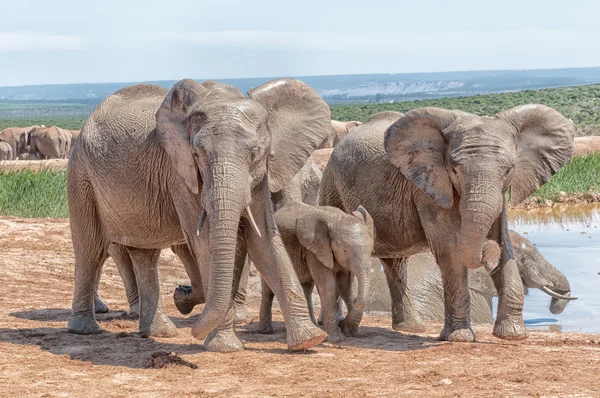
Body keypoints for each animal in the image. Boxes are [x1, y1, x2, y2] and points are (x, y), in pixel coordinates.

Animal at [68, 77, 330, 352]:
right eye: (197, 154)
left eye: (255, 153)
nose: (193, 332)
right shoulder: (180, 174)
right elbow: (204, 242)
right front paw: (223, 346)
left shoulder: (261, 177)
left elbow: (264, 241)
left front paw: (309, 340)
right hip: (81, 176)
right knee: (90, 249)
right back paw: (85, 329)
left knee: (144, 253)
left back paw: (160, 332)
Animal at [258, 204, 376, 344]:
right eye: (345, 251)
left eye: (371, 251)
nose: (355, 299)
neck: (337, 217)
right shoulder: (315, 250)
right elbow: (328, 286)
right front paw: (336, 339)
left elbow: (344, 286)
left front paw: (349, 332)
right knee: (268, 290)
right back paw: (266, 331)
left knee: (307, 288)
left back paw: (315, 328)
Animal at [322, 109, 576, 342]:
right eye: (454, 169)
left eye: (509, 170)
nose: (487, 251)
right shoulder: (428, 185)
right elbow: (450, 249)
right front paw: (459, 338)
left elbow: (504, 242)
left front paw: (512, 335)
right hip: (331, 185)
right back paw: (335, 328)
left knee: (396, 264)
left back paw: (412, 328)